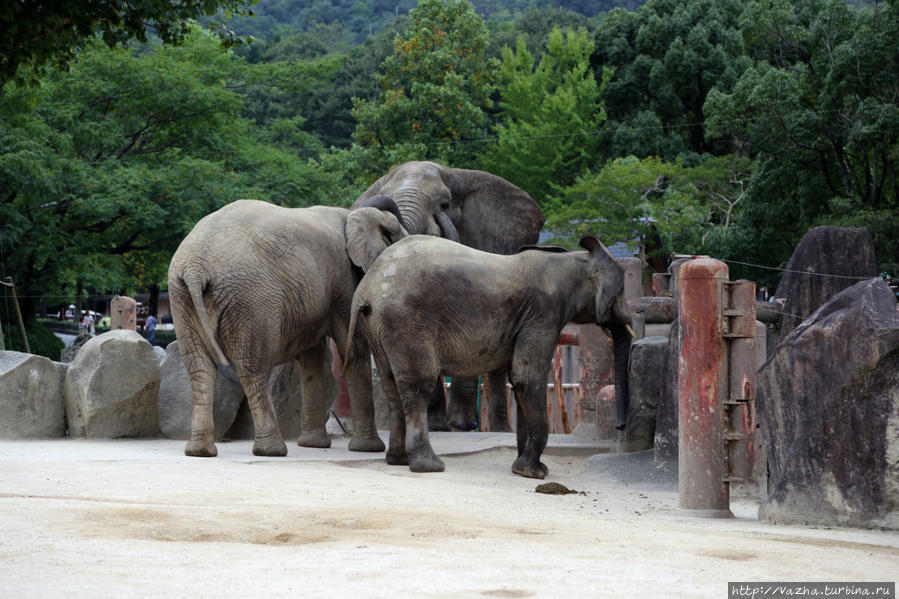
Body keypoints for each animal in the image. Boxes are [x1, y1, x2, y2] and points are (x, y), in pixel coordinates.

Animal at [169, 199, 408, 458]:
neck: (354, 214)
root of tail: (195, 266)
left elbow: (312, 360)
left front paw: (313, 445)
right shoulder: (344, 280)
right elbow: (352, 349)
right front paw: (368, 449)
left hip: (182, 299)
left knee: (199, 366)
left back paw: (200, 451)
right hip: (251, 300)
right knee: (252, 366)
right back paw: (271, 450)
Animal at [344, 233, 632, 478]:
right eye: (620, 293)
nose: (620, 427)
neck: (574, 260)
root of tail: (366, 288)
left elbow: (518, 382)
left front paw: (524, 469)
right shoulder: (543, 313)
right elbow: (527, 377)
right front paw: (532, 474)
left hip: (378, 326)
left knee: (391, 385)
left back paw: (399, 461)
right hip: (406, 322)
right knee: (418, 386)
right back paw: (429, 466)